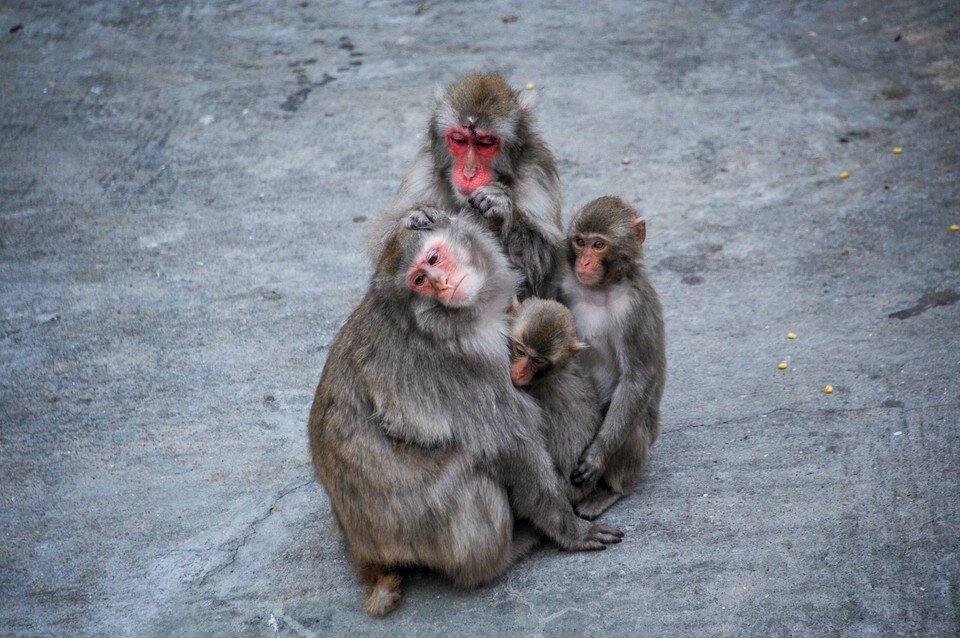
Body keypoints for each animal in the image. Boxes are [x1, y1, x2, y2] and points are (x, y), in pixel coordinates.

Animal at [370, 74, 564, 304]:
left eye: (485, 143)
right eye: (459, 140)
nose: (469, 173)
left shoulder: (536, 175)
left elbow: (545, 262)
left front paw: (500, 207)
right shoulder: (422, 173)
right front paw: (417, 216)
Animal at [560, 198, 664, 524]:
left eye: (598, 245)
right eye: (579, 242)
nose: (583, 263)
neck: (602, 288)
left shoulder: (634, 310)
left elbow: (638, 376)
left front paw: (598, 455)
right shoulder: (566, 284)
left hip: (644, 438)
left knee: (627, 419)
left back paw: (611, 490)